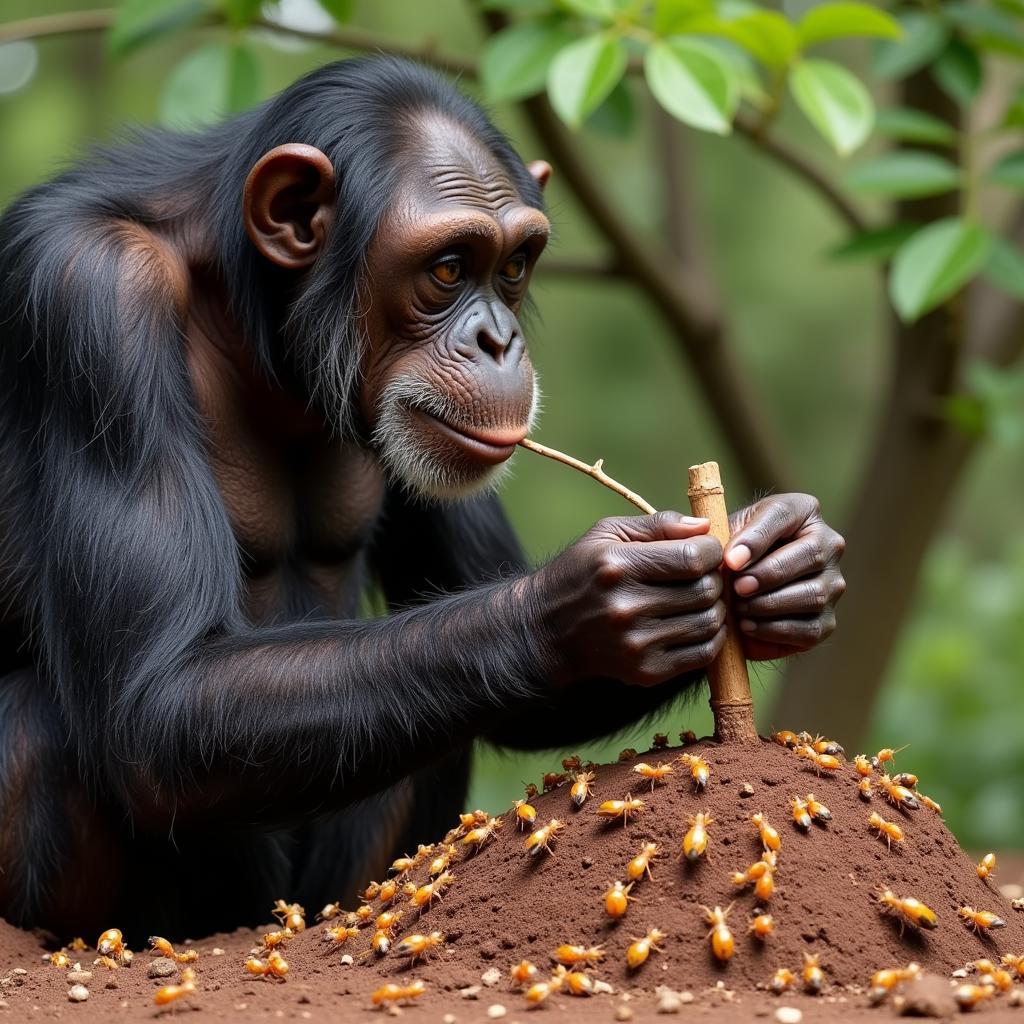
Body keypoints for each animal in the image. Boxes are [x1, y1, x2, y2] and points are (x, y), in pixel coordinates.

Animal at [0, 54, 843, 937]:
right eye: (447, 269)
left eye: (513, 267)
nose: (499, 340)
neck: (253, 316)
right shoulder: (87, 301)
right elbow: (152, 701)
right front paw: (589, 601)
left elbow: (512, 678)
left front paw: (787, 554)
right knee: (44, 729)